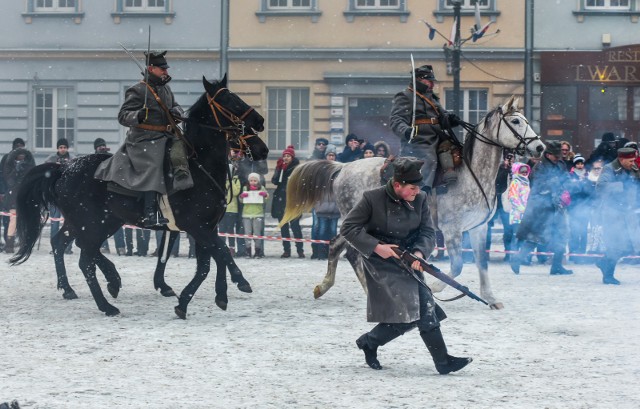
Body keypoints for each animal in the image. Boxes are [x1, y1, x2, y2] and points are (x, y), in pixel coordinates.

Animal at [10, 76, 264, 318]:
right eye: (228, 99)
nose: (260, 124)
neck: (200, 166)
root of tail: (64, 169)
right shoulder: (196, 226)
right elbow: (220, 254)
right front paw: (238, 282)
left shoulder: (205, 227)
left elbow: (205, 262)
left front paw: (200, 297)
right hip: (93, 224)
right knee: (85, 258)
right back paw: (107, 303)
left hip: (94, 222)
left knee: (63, 244)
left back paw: (82, 286)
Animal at [282, 97, 544, 308]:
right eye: (516, 121)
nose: (540, 147)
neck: (471, 174)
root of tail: (344, 167)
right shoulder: (452, 229)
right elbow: (457, 266)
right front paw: (436, 287)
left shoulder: (478, 228)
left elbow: (482, 263)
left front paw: (490, 298)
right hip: (354, 221)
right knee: (349, 252)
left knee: (339, 248)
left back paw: (329, 286)